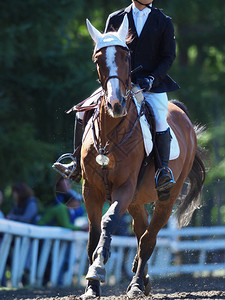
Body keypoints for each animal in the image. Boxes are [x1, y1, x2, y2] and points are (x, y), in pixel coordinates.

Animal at [79, 15, 206, 298]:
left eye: (126, 57)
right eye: (97, 59)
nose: (116, 105)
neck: (111, 134)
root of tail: (180, 113)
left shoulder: (124, 188)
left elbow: (108, 222)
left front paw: (98, 270)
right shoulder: (90, 190)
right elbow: (93, 235)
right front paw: (92, 285)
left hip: (166, 197)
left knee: (149, 237)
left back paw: (137, 284)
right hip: (137, 199)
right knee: (140, 230)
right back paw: (142, 278)